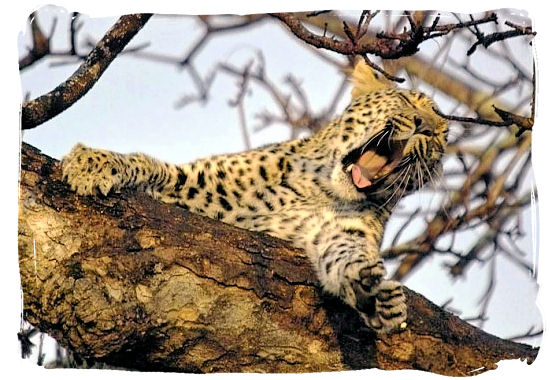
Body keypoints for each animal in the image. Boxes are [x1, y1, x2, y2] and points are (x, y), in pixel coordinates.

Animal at [61, 60, 448, 334]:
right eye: (406, 100)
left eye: (442, 137)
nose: (426, 128)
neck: (320, 189)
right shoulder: (197, 189)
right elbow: (155, 168)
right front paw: (91, 163)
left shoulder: (339, 232)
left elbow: (345, 256)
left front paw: (372, 293)